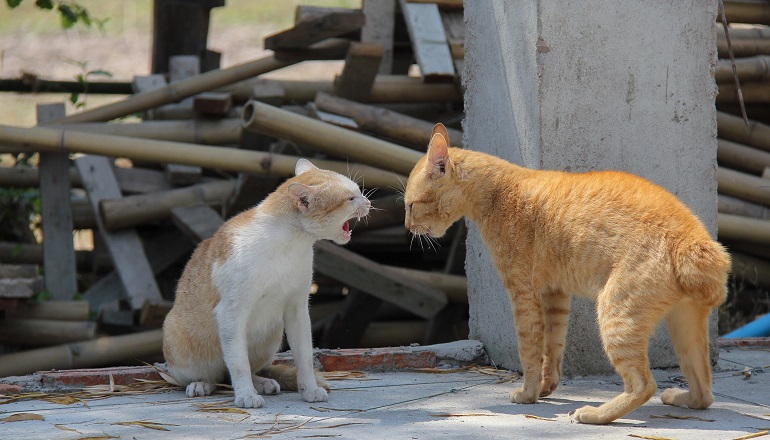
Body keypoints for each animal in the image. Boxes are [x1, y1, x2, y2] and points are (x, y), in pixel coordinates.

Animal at [162, 159, 368, 410]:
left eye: (358, 192)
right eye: (351, 198)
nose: (368, 201)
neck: (289, 243)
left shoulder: (298, 310)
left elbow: (304, 357)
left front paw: (308, 389)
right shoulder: (231, 313)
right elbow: (238, 363)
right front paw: (245, 395)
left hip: (272, 336)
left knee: (236, 373)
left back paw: (261, 382)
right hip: (178, 337)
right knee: (216, 375)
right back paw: (202, 384)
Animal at [404, 123, 728, 422]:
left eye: (410, 205)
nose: (407, 227)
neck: (498, 192)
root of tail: (694, 240)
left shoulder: (523, 293)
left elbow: (529, 349)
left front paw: (528, 393)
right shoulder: (554, 294)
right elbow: (552, 346)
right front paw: (546, 387)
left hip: (615, 315)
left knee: (644, 385)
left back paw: (595, 414)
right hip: (683, 328)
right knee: (705, 392)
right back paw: (680, 397)